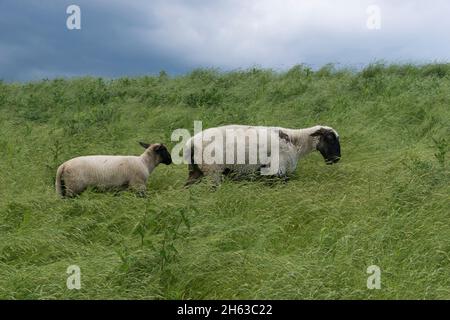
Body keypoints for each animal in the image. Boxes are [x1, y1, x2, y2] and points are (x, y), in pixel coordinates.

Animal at [185, 125, 340, 185]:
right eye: (330, 138)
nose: (336, 159)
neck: (295, 141)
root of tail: (191, 142)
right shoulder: (278, 171)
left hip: (196, 170)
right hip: (213, 170)